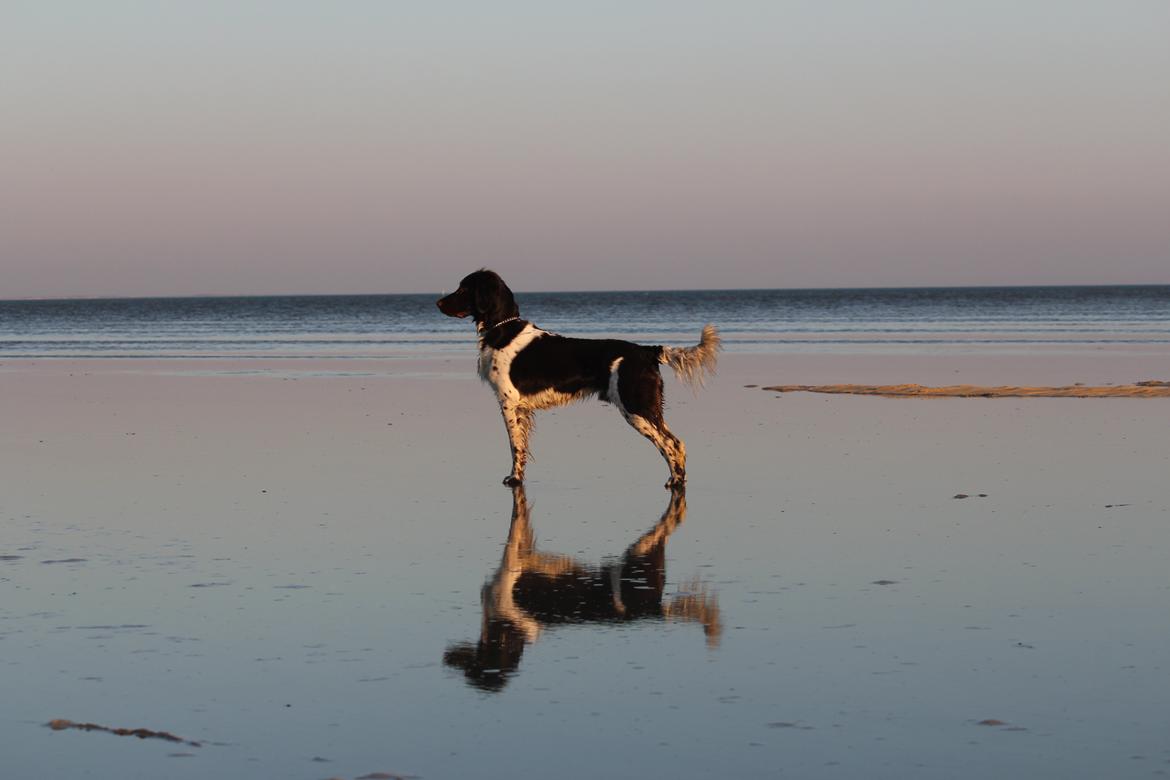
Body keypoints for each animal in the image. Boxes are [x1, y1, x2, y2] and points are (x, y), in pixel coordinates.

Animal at [435, 270, 716, 488]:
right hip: (646, 408)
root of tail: (648, 351)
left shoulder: (509, 402)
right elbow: (522, 447)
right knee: (676, 443)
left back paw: (676, 482)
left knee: (672, 444)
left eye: (463, 288)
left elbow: (515, 446)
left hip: (636, 407)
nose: (437, 303)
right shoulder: (522, 408)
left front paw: (514, 479)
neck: (502, 329)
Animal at [442, 484, 716, 692]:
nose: (448, 659)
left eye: (473, 672)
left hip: (637, 555)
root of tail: (654, 609)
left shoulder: (511, 562)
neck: (508, 628)